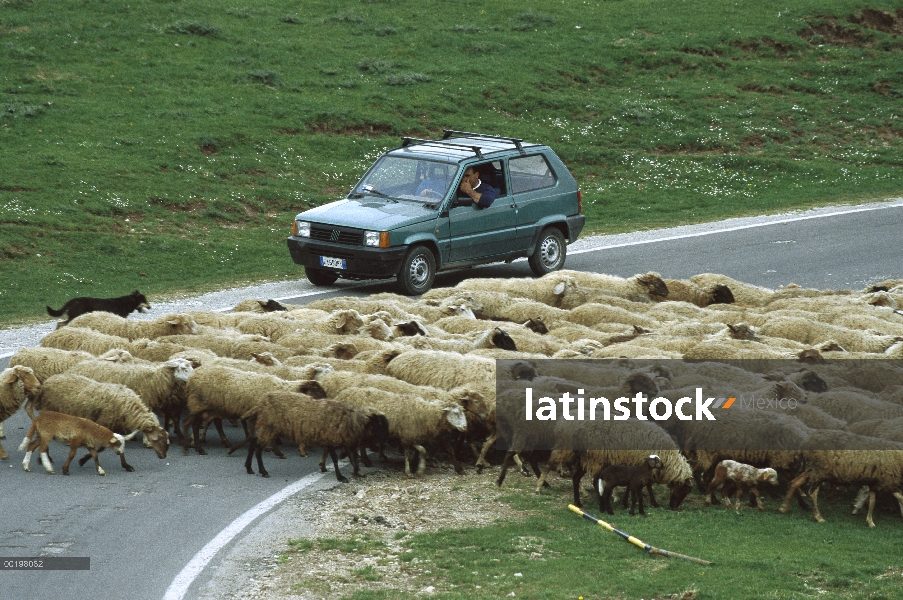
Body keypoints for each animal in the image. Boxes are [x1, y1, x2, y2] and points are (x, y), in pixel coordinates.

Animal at [26, 376, 170, 468]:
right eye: (158, 438)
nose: (164, 456)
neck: (128, 406)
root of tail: (47, 382)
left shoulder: (115, 428)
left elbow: (119, 445)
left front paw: (126, 465)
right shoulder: (104, 423)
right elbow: (101, 448)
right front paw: (83, 460)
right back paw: (46, 458)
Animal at [242, 390, 390, 482]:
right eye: (379, 424)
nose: (386, 439)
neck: (352, 420)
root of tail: (260, 404)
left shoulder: (344, 440)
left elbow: (352, 456)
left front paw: (357, 471)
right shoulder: (331, 439)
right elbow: (335, 459)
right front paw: (340, 477)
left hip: (267, 428)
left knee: (253, 442)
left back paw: (249, 468)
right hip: (268, 427)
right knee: (258, 448)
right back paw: (263, 471)